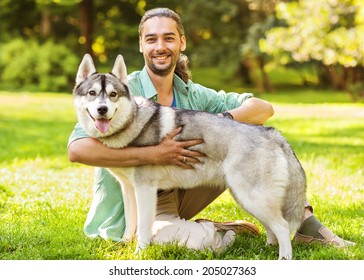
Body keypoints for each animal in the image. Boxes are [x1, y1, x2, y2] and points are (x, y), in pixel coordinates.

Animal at [73, 54, 308, 260]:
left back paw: (284, 257)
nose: (102, 109)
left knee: (282, 226)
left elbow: (143, 228)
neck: (133, 122)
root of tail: (272, 133)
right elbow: (130, 226)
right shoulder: (129, 190)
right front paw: (126, 247)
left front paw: (139, 253)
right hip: (247, 198)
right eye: (92, 93)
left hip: (252, 197)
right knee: (272, 228)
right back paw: (268, 248)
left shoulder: (145, 190)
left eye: (113, 95)